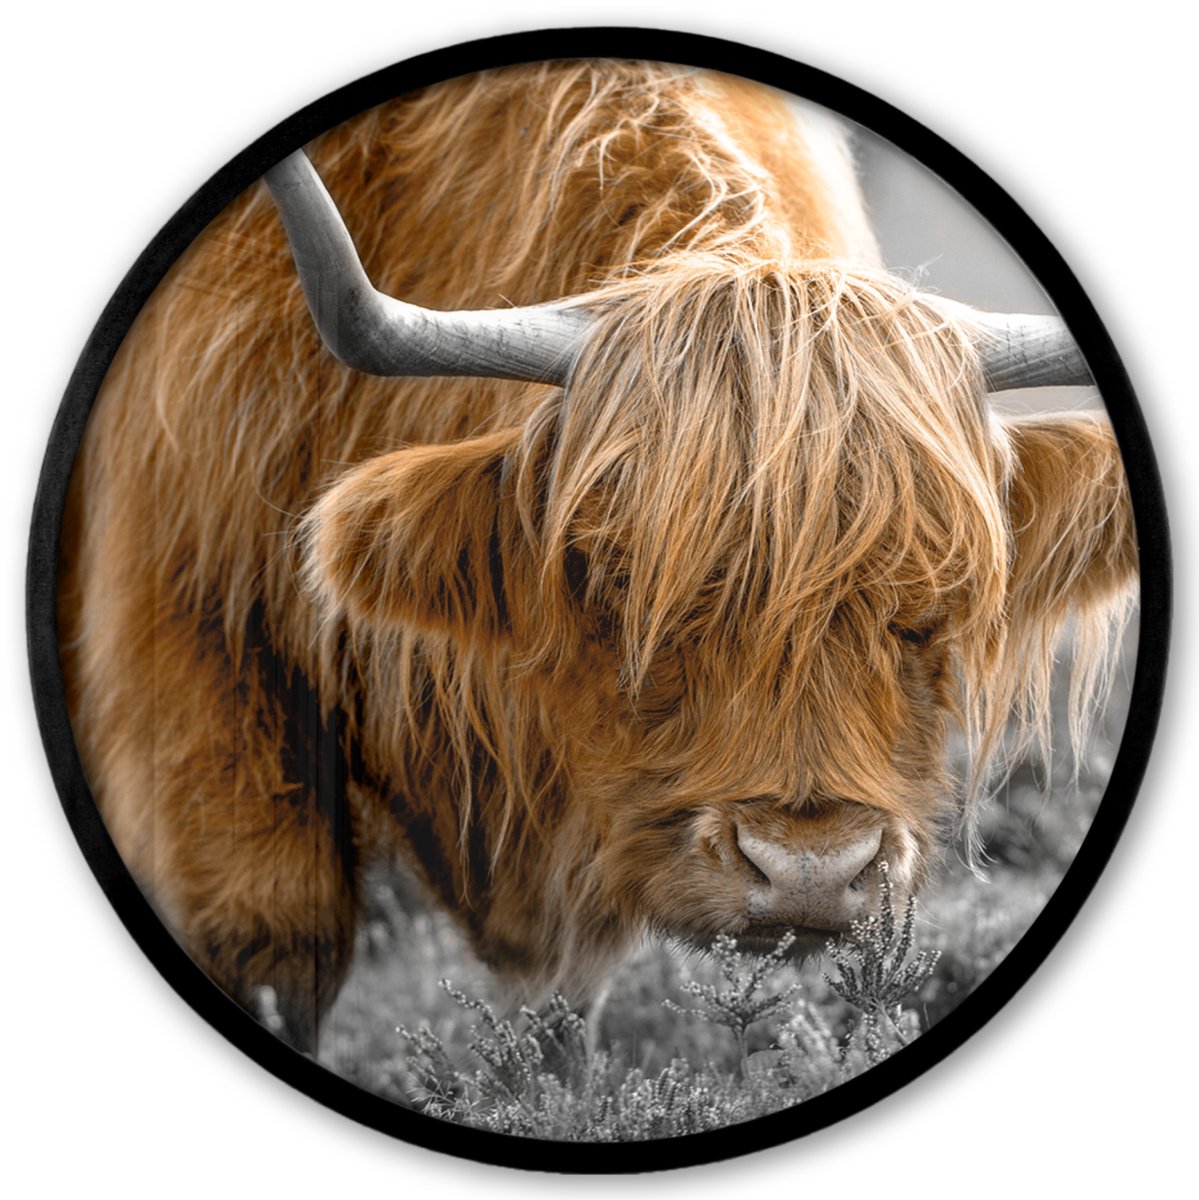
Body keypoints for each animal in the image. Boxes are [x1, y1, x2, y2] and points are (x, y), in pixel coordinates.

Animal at [58, 60, 1137, 1053]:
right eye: (615, 578)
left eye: (931, 602)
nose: (807, 869)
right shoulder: (194, 653)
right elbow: (272, 932)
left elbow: (563, 1016)